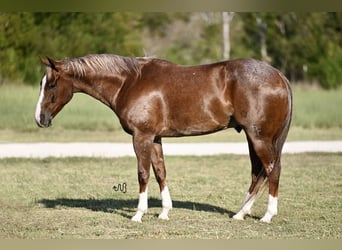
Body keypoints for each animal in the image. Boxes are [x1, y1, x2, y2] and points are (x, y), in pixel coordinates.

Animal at [34, 54, 292, 223]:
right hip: (253, 138)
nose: (40, 119)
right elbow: (160, 172)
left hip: (259, 137)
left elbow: (143, 174)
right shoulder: (155, 138)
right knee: (258, 173)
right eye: (42, 83)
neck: (130, 81)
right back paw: (240, 213)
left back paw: (267, 216)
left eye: (52, 84)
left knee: (272, 170)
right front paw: (165, 212)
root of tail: (279, 75)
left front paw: (139, 214)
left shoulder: (142, 136)